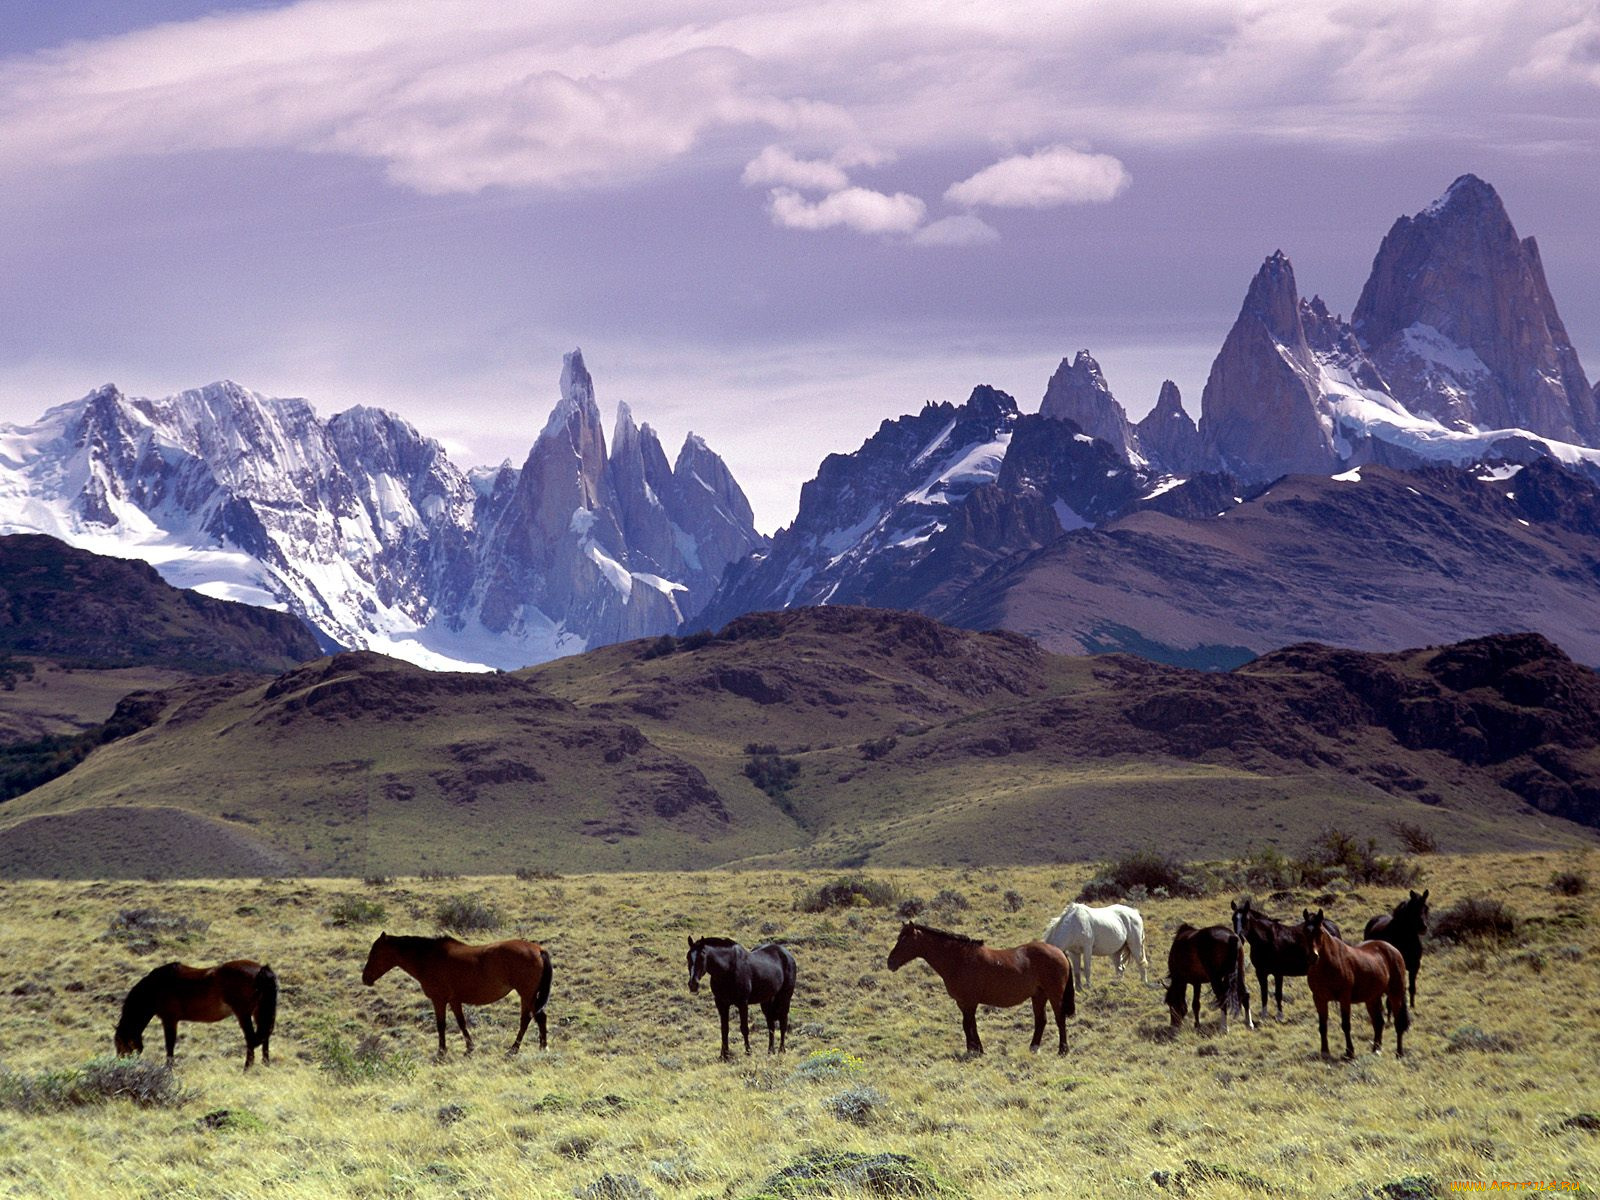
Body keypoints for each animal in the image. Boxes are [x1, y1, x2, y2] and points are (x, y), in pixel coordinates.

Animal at [114, 960, 278, 1068]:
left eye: (120, 1046)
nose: (121, 1065)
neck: (156, 987)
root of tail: (261, 970)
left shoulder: (169, 1020)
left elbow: (169, 1045)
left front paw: (168, 1069)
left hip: (243, 1014)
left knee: (251, 1039)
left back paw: (246, 1069)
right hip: (258, 1013)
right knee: (265, 1037)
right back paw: (265, 1065)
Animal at [364, 934, 556, 1056]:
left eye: (375, 953)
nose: (365, 978)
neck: (429, 958)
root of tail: (538, 949)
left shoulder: (439, 1000)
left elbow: (441, 1025)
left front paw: (442, 1051)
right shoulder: (454, 1001)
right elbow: (461, 1023)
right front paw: (469, 1048)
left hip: (526, 994)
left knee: (528, 1019)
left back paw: (515, 1049)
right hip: (530, 995)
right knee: (539, 1017)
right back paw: (541, 1047)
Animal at [889, 921, 1075, 1049]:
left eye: (904, 940)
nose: (890, 962)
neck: (959, 960)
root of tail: (1059, 951)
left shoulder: (970, 1002)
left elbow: (969, 1024)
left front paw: (975, 1050)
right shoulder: (962, 1003)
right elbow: (968, 1025)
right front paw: (974, 1048)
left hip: (1054, 994)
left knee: (1059, 1019)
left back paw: (1062, 1050)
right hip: (1039, 995)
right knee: (1041, 1020)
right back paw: (1033, 1048)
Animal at [1299, 908, 1414, 1062]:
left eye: (1320, 932)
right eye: (1305, 931)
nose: (1313, 957)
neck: (1328, 965)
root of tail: (1393, 950)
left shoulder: (1344, 998)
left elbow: (1346, 1025)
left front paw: (1349, 1053)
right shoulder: (1319, 999)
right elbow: (1322, 1026)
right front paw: (1325, 1052)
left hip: (1395, 994)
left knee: (1398, 1023)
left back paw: (1399, 1053)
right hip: (1372, 998)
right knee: (1379, 1022)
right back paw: (1376, 1050)